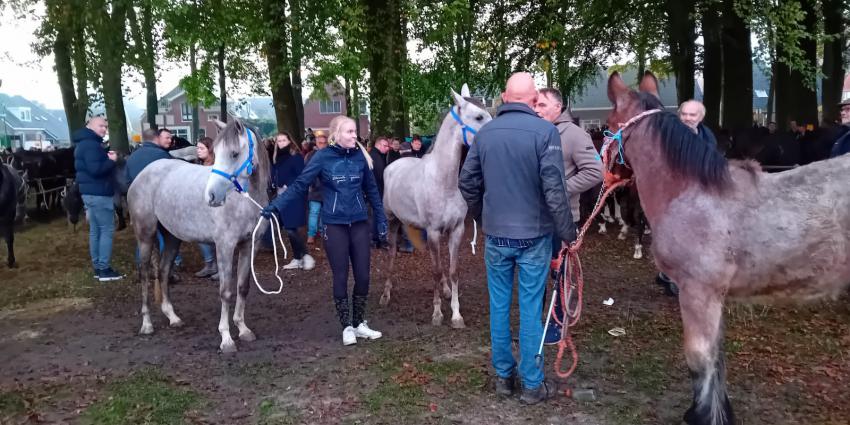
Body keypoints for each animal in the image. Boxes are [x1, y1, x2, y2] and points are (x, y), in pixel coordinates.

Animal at [128, 118, 268, 352]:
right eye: (216, 152)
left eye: (234, 153)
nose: (211, 196)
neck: (245, 199)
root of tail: (144, 173)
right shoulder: (224, 246)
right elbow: (226, 291)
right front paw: (226, 338)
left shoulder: (250, 244)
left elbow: (242, 287)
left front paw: (243, 329)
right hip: (146, 236)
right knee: (146, 274)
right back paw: (147, 324)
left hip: (172, 237)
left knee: (164, 271)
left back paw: (173, 317)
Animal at [382, 83, 494, 328]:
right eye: (479, 116)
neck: (444, 182)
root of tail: (393, 164)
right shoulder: (432, 231)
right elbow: (435, 270)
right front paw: (437, 314)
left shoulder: (456, 230)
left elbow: (452, 271)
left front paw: (456, 314)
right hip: (393, 221)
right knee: (392, 254)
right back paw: (385, 294)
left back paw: (445, 290)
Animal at [604, 72, 848, 424]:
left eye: (607, 125)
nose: (607, 176)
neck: (691, 192)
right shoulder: (713, 297)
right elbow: (716, 358)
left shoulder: (697, 292)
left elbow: (699, 358)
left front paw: (703, 415)